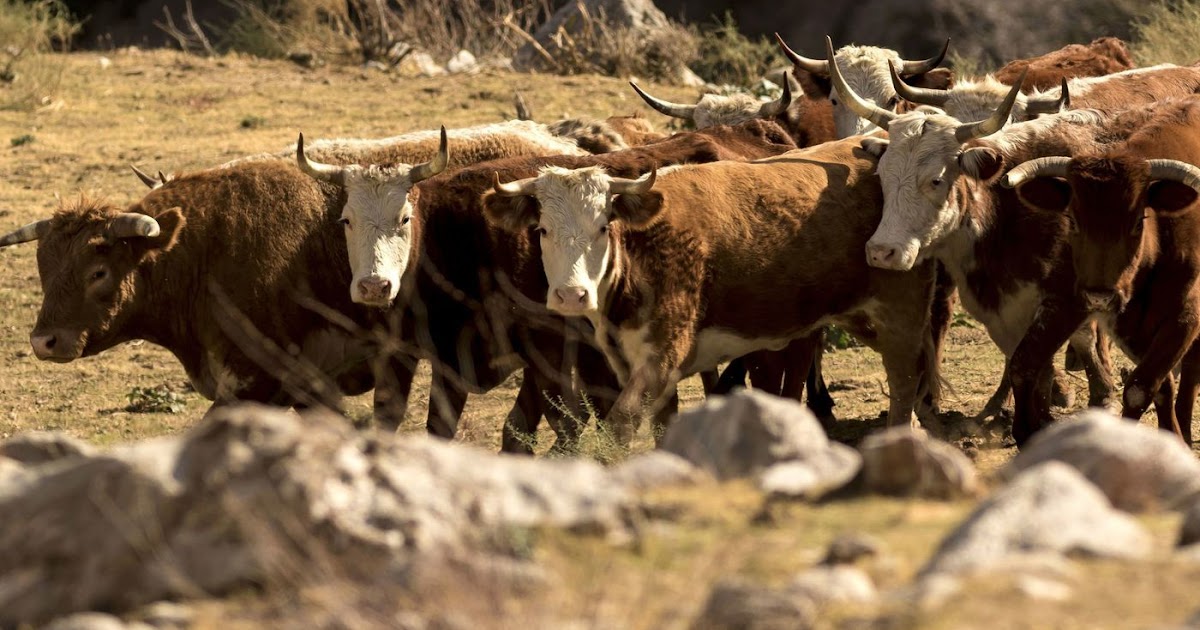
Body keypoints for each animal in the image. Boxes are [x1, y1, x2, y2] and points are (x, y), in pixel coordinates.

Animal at [481, 136, 941, 446]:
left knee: (903, 379)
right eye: (542, 230)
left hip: (901, 311)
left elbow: (620, 425)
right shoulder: (638, 366)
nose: (571, 296)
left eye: (602, 227)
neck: (643, 250)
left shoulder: (662, 356)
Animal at [1000, 97, 1200, 445]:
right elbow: (1023, 364)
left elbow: (1140, 389)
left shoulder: (1185, 317)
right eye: (1073, 219)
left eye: (1138, 222)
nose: (1100, 295)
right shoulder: (1072, 300)